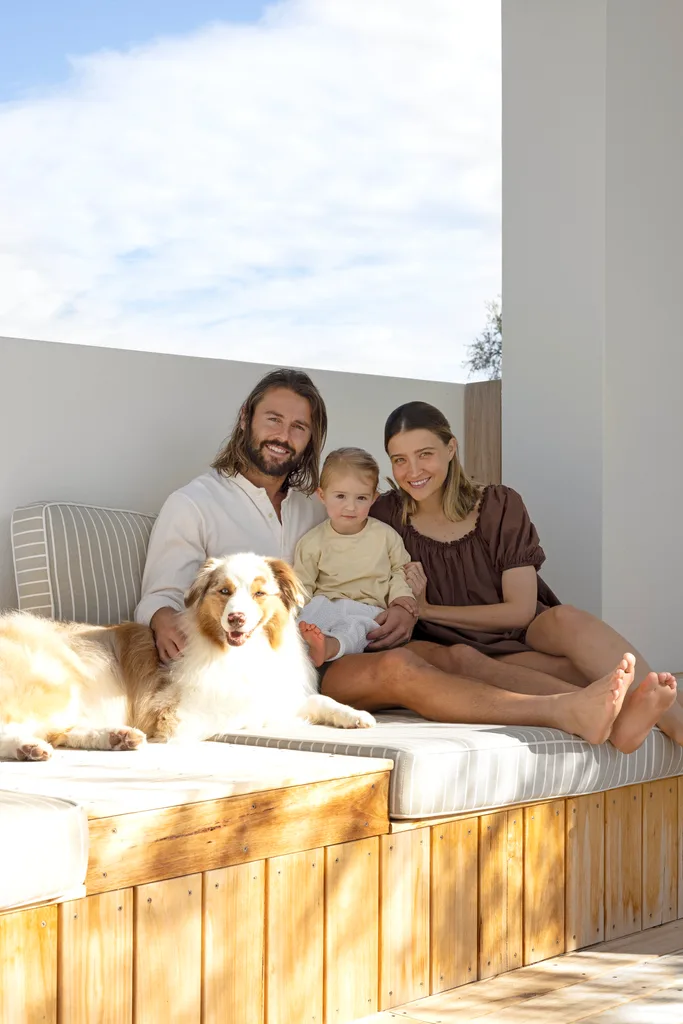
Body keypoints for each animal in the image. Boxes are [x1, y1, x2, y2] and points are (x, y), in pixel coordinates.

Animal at [0, 552, 374, 761]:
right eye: (224, 591)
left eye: (259, 593)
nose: (236, 618)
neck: (240, 653)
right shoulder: (181, 715)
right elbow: (249, 714)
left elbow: (320, 700)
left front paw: (355, 715)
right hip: (55, 684)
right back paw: (26, 747)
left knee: (61, 730)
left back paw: (117, 737)